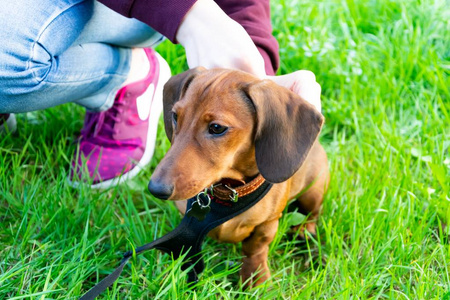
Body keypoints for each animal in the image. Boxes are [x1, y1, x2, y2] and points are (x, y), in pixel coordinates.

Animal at [149, 67, 328, 288]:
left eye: (217, 128)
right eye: (175, 116)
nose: (156, 188)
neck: (228, 191)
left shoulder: (268, 223)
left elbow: (255, 249)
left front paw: (256, 280)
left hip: (313, 192)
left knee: (312, 215)